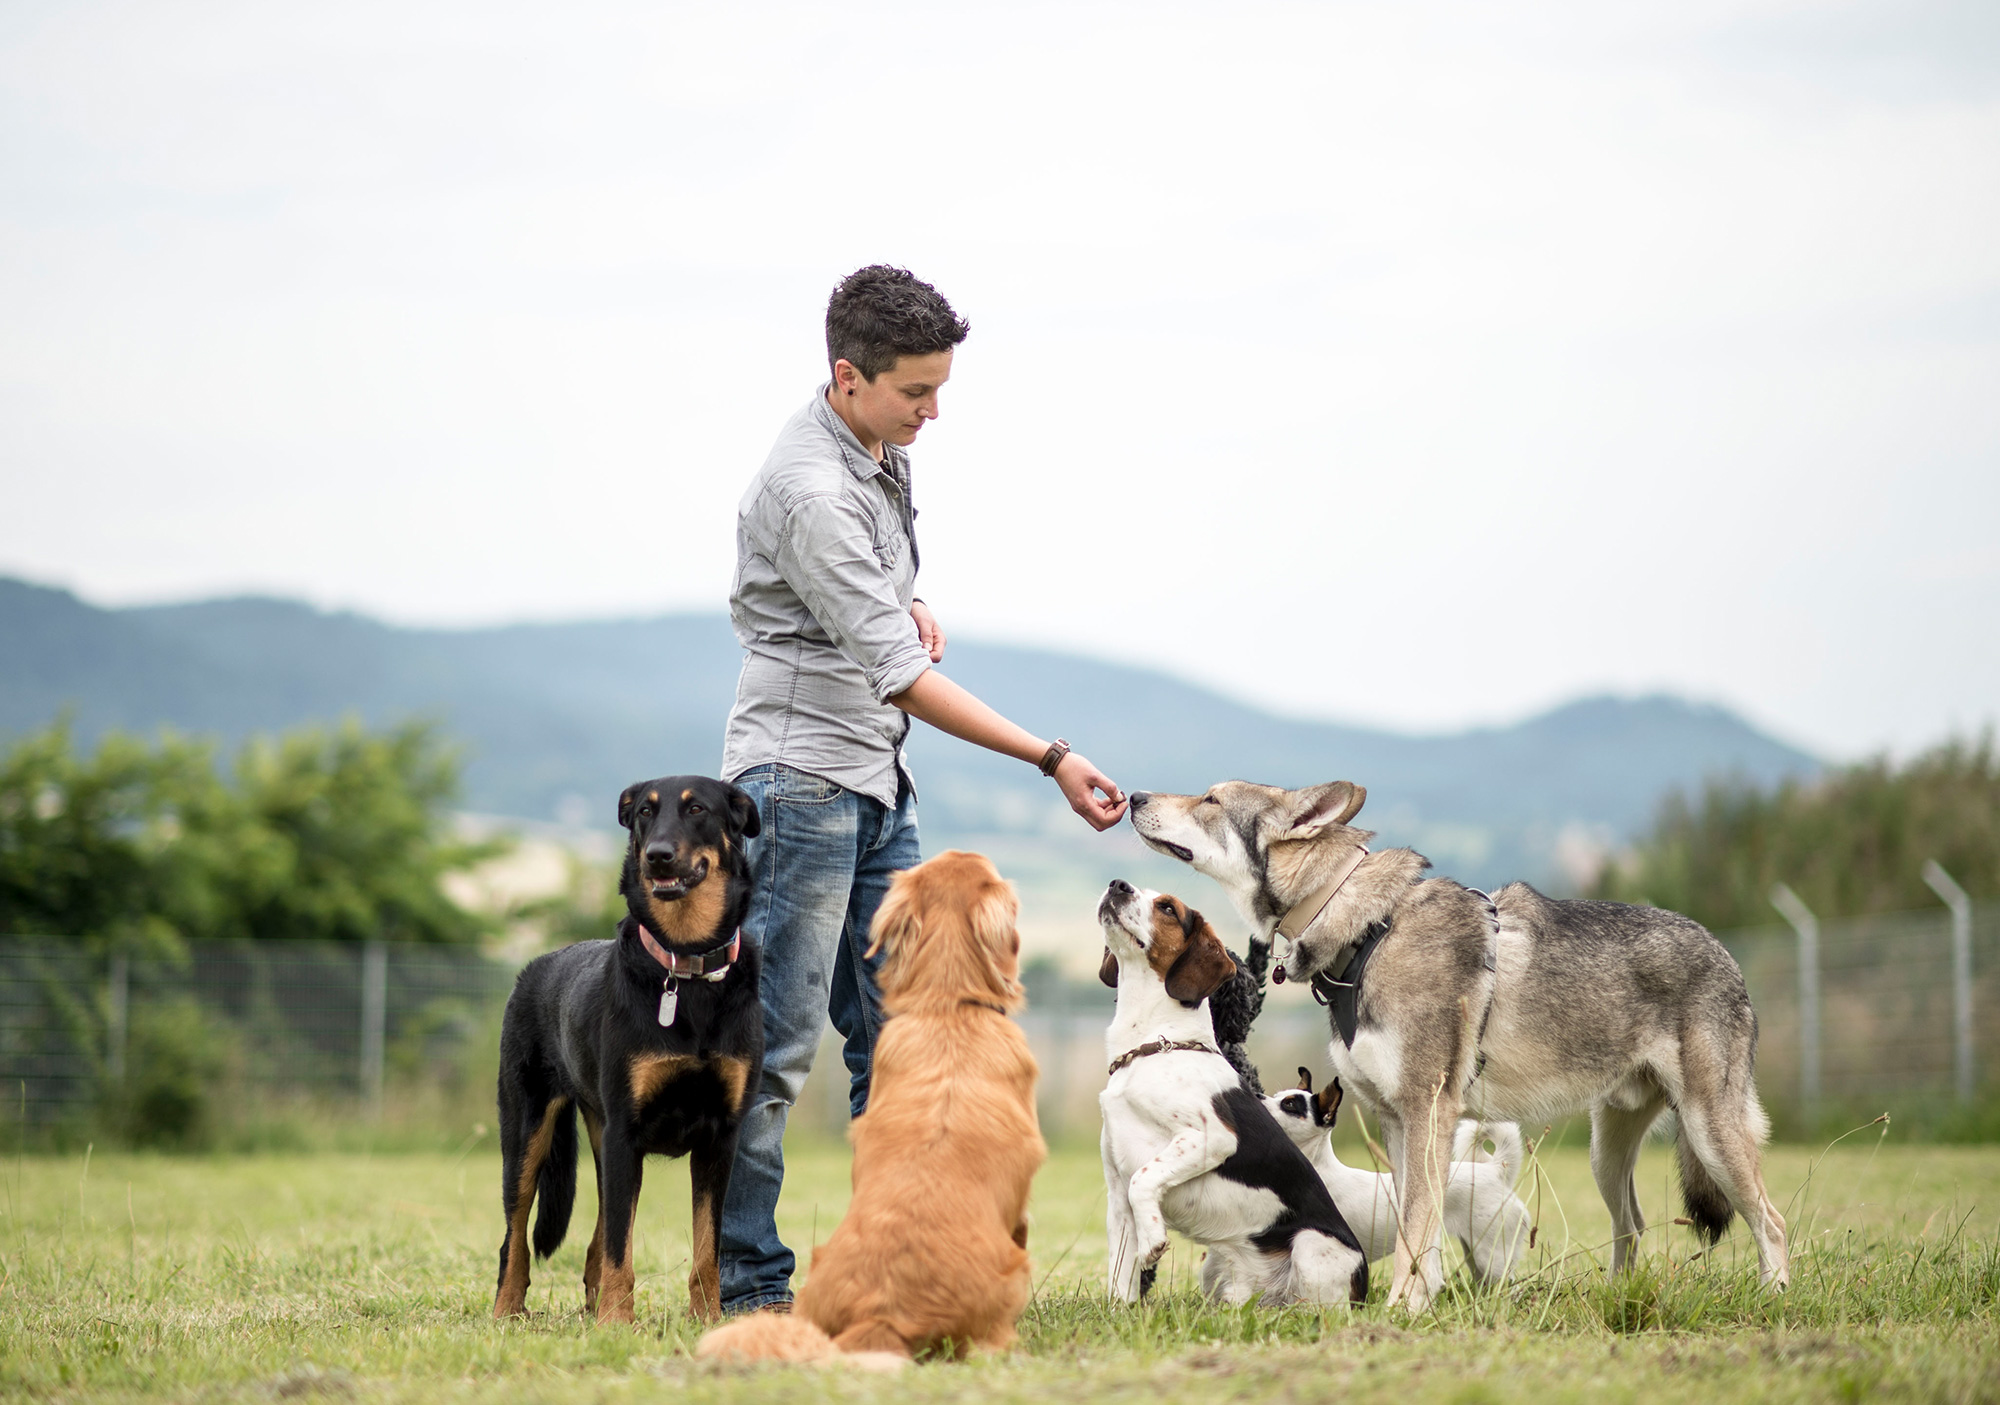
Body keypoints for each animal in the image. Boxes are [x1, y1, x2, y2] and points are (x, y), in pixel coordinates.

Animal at [490, 776, 756, 1328]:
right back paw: (508, 1310)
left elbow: (707, 1248)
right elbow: (621, 1247)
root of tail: (533, 969)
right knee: (516, 1234)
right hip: (528, 1130)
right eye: (643, 814)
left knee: (596, 1233)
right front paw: (616, 1323)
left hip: (598, 1137)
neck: (684, 966)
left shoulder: (719, 1137)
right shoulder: (625, 1135)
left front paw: (708, 1320)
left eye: (697, 809)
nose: (657, 856)